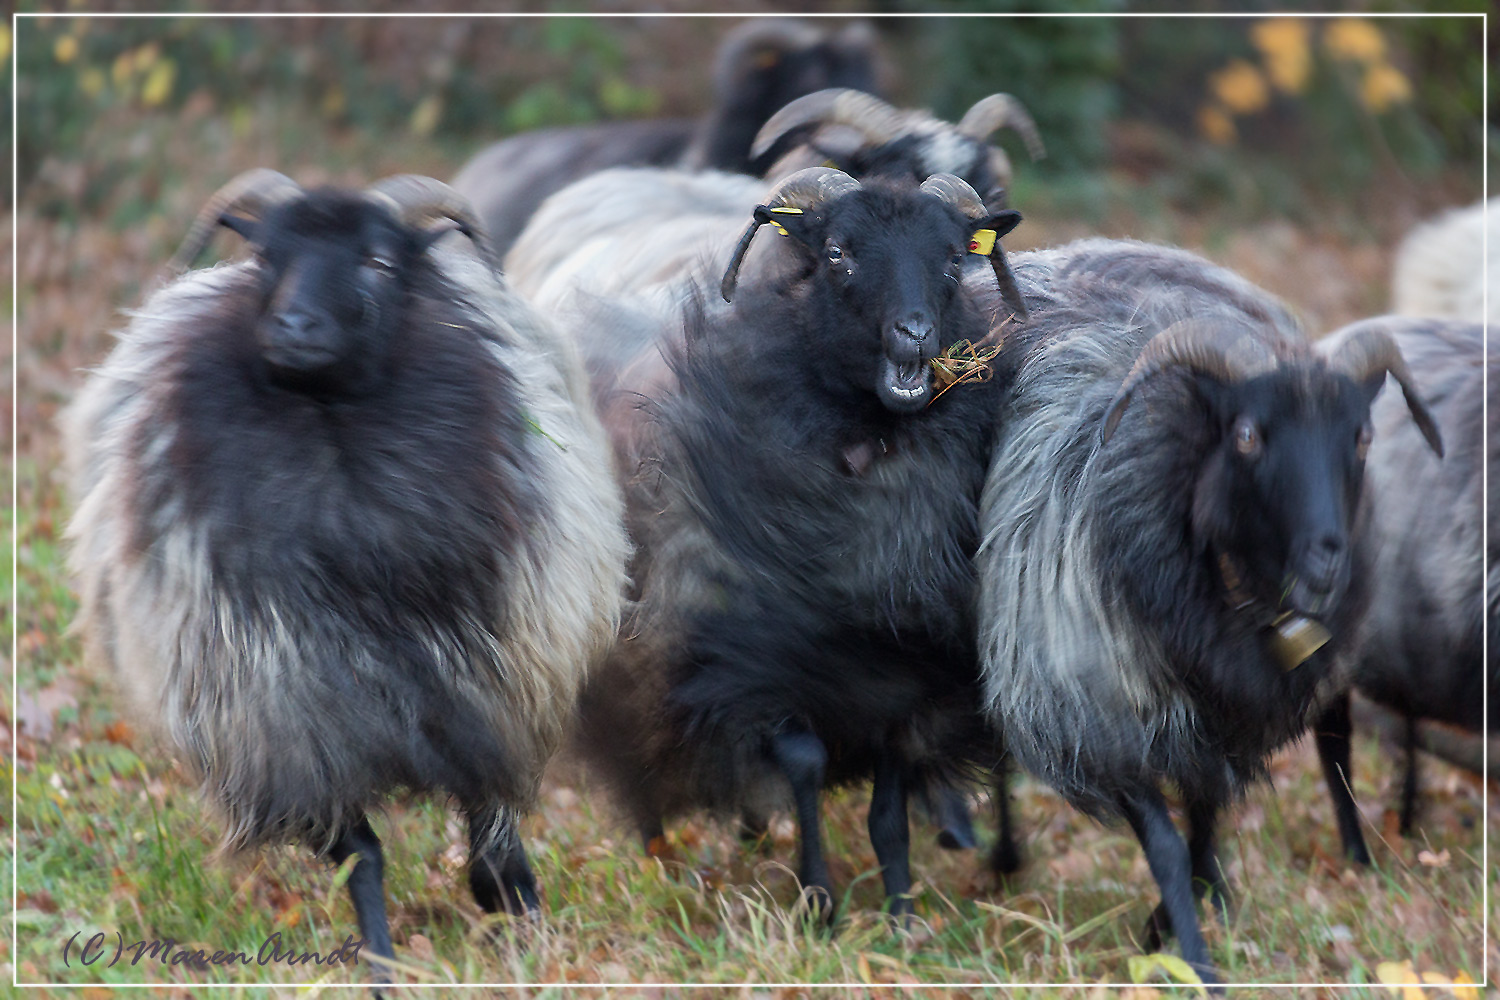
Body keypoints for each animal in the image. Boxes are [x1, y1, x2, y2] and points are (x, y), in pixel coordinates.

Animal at [63, 170, 627, 977]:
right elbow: (361, 856)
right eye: (266, 256)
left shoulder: (490, 695)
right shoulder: (285, 730)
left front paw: (525, 931)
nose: (294, 326)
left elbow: (495, 834)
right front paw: (384, 967)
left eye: (380, 261)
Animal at [567, 167, 1026, 917]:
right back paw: (661, 853)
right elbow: (805, 766)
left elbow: (888, 812)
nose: (915, 335)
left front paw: (899, 910)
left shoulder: (901, 683)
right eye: (838, 253)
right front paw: (819, 900)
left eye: (954, 260)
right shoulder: (760, 659)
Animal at [972, 239, 1440, 983]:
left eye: (1363, 436)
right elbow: (1167, 844)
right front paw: (1192, 960)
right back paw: (999, 860)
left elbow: (1204, 822)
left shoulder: (1221, 717)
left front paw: (1185, 912)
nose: (1330, 558)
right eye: (1247, 434)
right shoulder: (1095, 714)